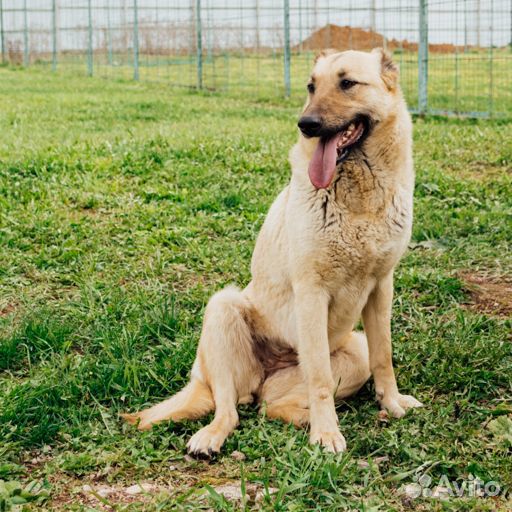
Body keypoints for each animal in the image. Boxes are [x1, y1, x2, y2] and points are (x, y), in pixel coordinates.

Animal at [122, 49, 422, 456]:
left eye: (347, 83)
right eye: (311, 86)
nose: (306, 125)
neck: (358, 198)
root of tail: (262, 377)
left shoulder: (380, 287)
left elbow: (384, 357)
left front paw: (391, 403)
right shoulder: (311, 293)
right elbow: (320, 377)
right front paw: (327, 434)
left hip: (351, 352)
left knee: (271, 406)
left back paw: (304, 418)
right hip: (223, 308)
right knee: (231, 410)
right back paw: (214, 436)